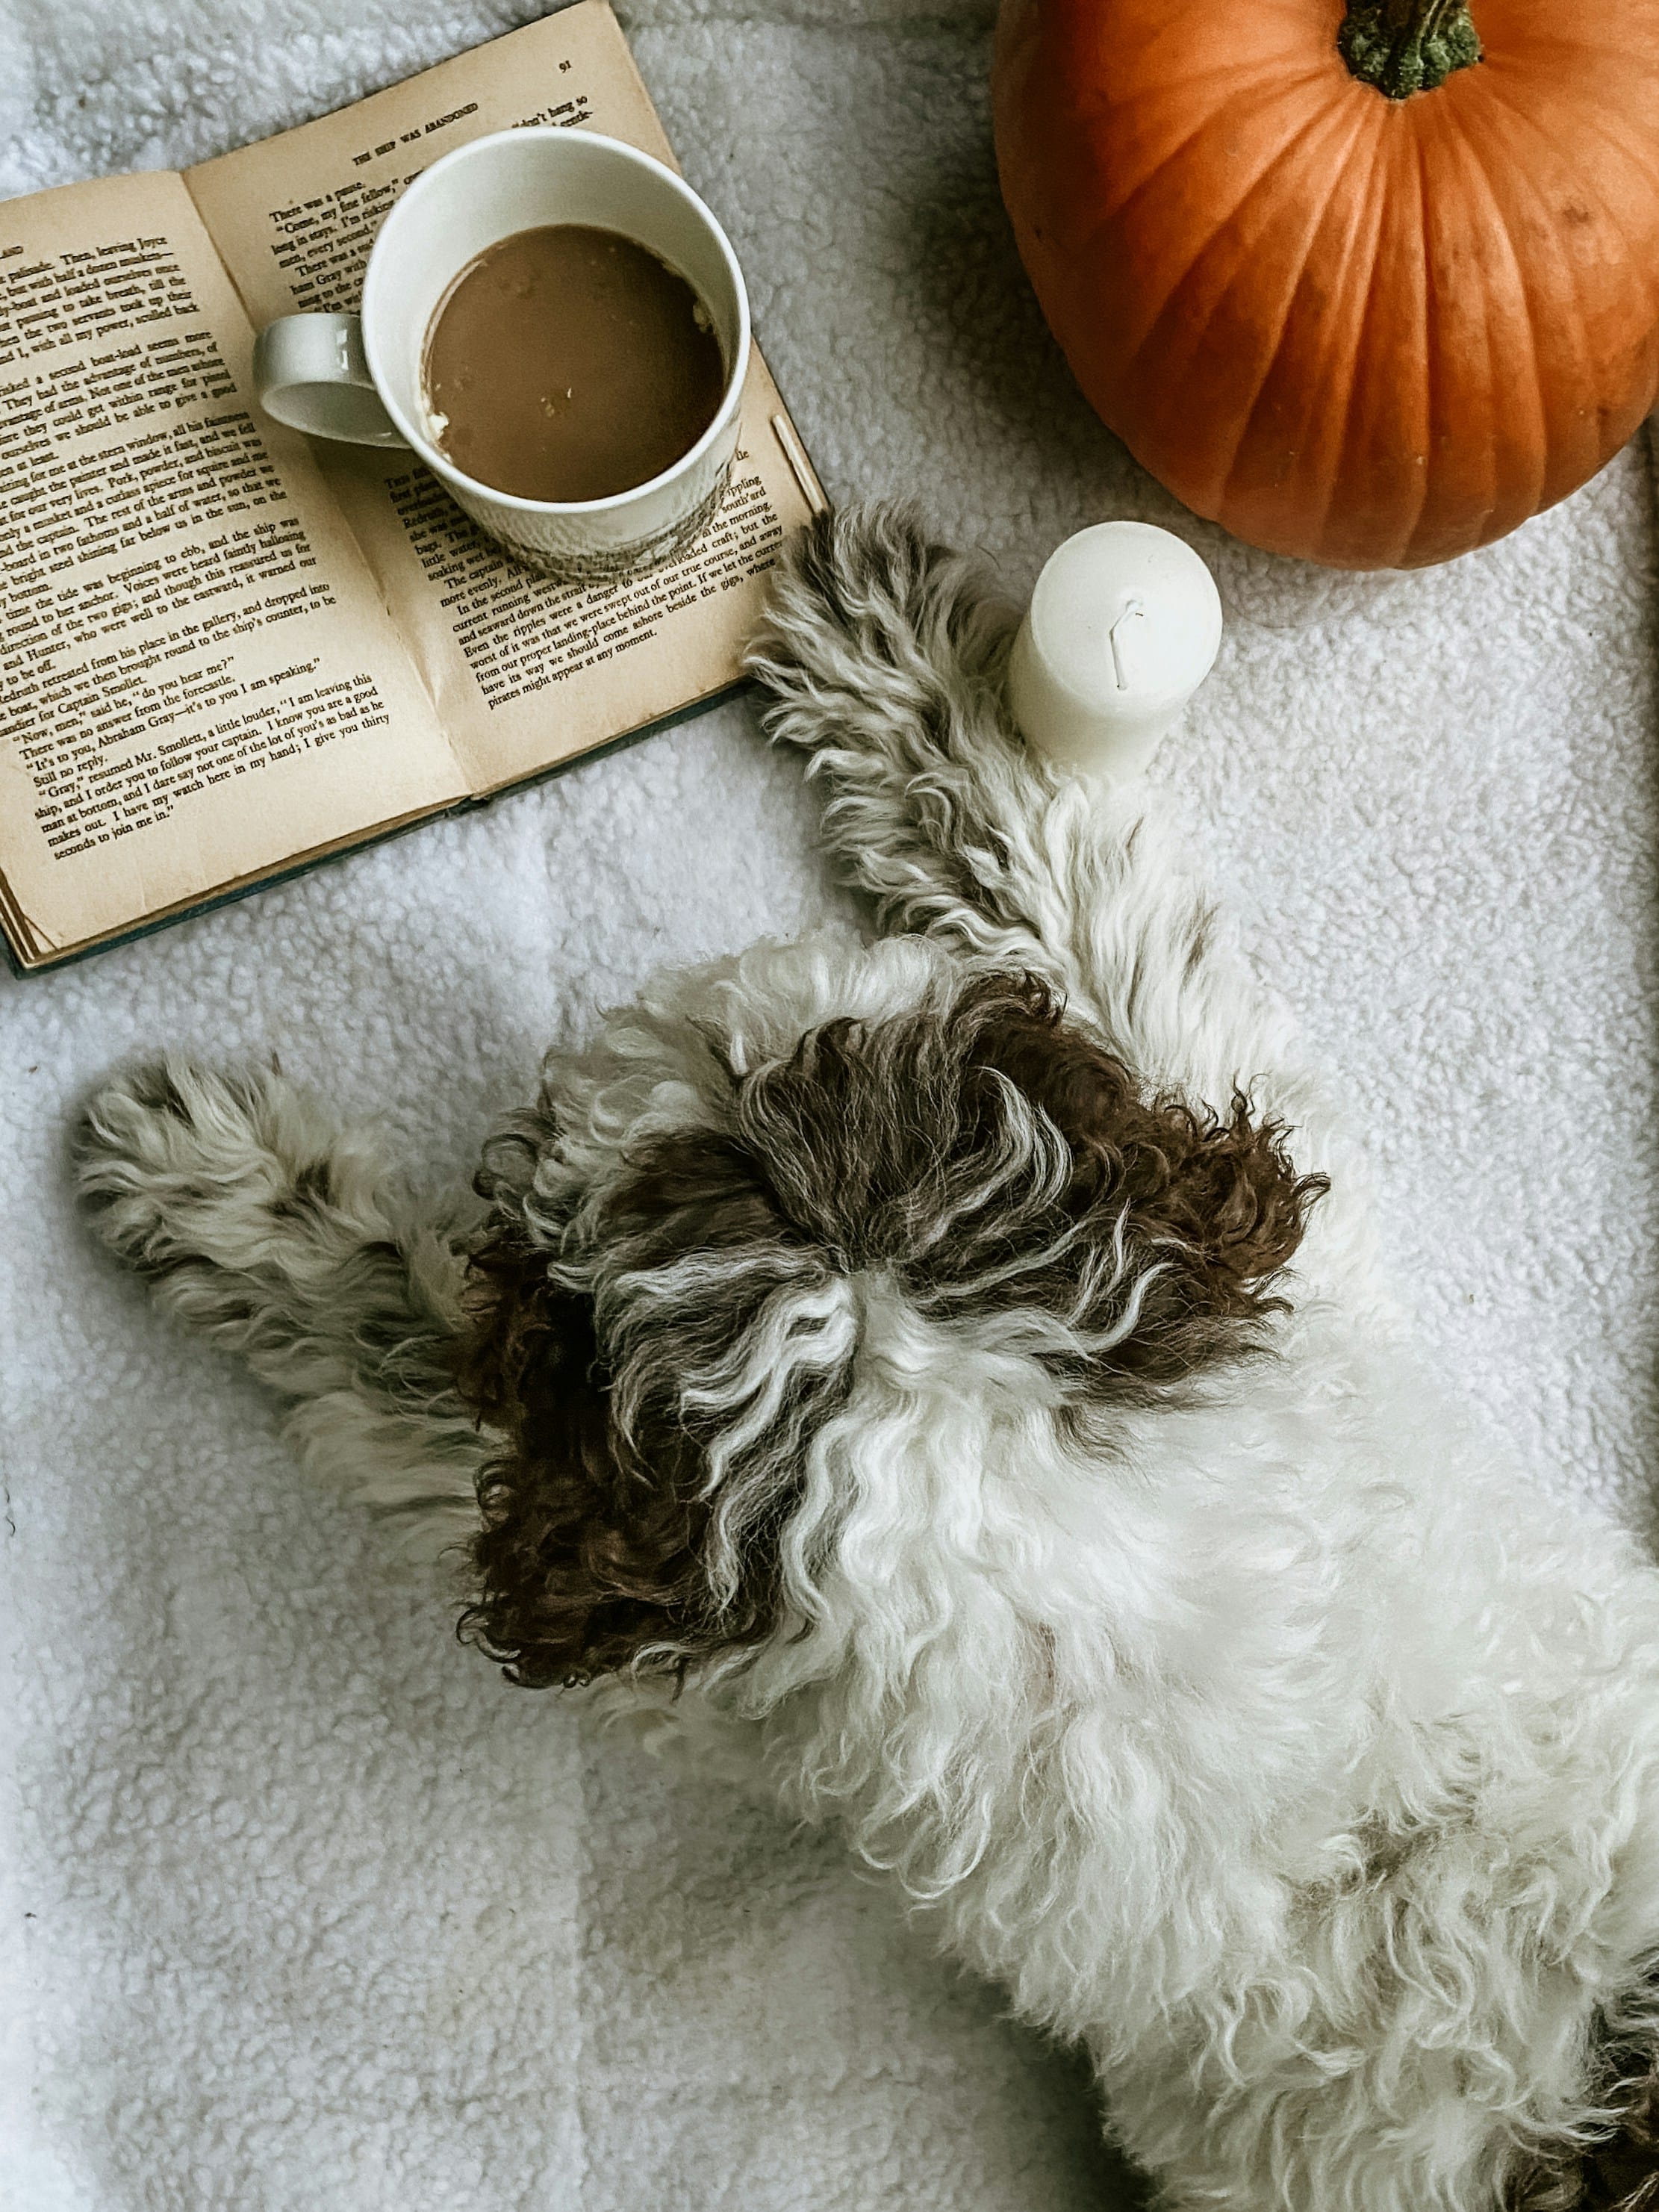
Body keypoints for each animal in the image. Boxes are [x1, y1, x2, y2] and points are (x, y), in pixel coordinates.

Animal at [78, 506, 1659, 2212]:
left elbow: (407, 1362)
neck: (1018, 1479)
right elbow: (1073, 889)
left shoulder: (690, 1653)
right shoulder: (1254, 1240)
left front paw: (228, 1190)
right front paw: (904, 665)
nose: (571, 1092)